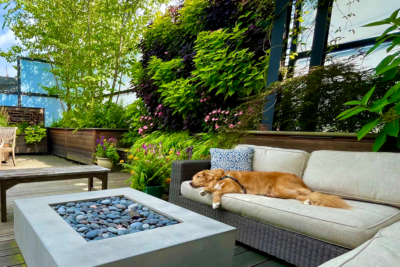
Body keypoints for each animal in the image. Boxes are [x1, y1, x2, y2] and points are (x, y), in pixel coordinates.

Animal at [191, 170, 350, 211]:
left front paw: (215, 202)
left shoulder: (235, 188)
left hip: (280, 188)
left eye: (197, 176)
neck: (220, 177)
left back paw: (307, 201)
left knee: (302, 195)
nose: (190, 183)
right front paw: (205, 190)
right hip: (276, 192)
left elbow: (218, 191)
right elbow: (213, 188)